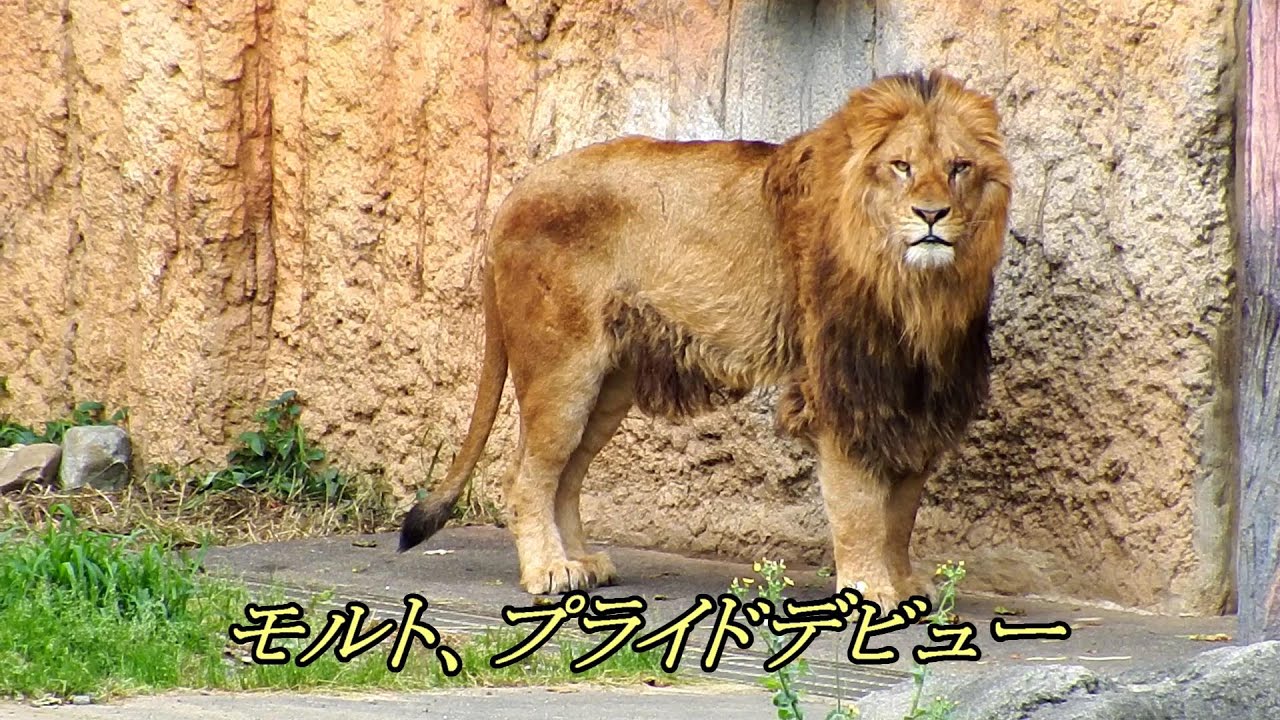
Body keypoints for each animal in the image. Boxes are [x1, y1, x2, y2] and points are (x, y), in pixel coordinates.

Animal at [399, 70, 1012, 606]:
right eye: (901, 167)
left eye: (959, 167)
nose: (931, 215)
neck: (919, 290)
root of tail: (514, 194)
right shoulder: (840, 387)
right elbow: (860, 506)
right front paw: (869, 590)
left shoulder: (923, 393)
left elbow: (902, 510)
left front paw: (905, 583)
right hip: (563, 370)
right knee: (527, 475)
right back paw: (549, 570)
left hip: (609, 384)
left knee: (566, 477)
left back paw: (583, 562)